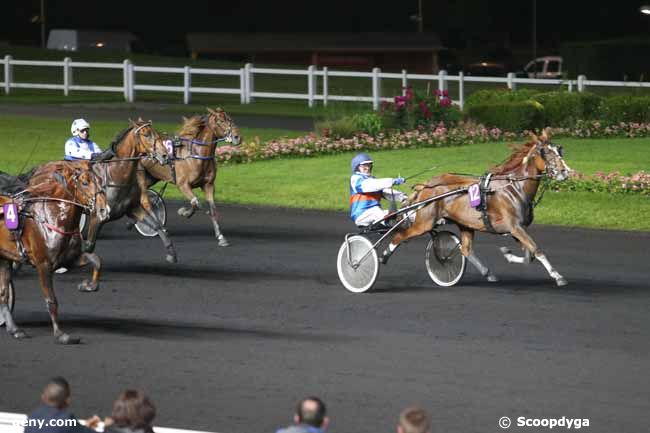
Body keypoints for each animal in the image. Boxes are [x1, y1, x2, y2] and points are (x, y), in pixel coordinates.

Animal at [0, 160, 109, 342]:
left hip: (4, 258)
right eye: (85, 182)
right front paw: (61, 334)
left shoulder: (68, 259)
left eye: (101, 181)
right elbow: (51, 300)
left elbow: (96, 261)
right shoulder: (43, 264)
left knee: (4, 292)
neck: (53, 217)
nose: (104, 210)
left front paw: (88, 285)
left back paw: (14, 329)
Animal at [140, 106, 242, 245]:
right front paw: (184, 212)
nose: (237, 137)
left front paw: (221, 237)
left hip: (151, 177)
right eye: (221, 121)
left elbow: (212, 209)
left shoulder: (208, 185)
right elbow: (196, 203)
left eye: (230, 119)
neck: (196, 154)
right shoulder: (183, 185)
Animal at [382, 132, 568, 286]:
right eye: (546, 153)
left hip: (465, 224)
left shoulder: (518, 228)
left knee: (465, 249)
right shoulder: (514, 227)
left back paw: (487, 272)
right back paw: (384, 255)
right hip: (424, 223)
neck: (514, 187)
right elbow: (536, 250)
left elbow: (529, 256)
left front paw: (507, 254)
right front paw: (558, 276)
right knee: (399, 236)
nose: (565, 171)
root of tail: (426, 184)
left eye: (559, 151)